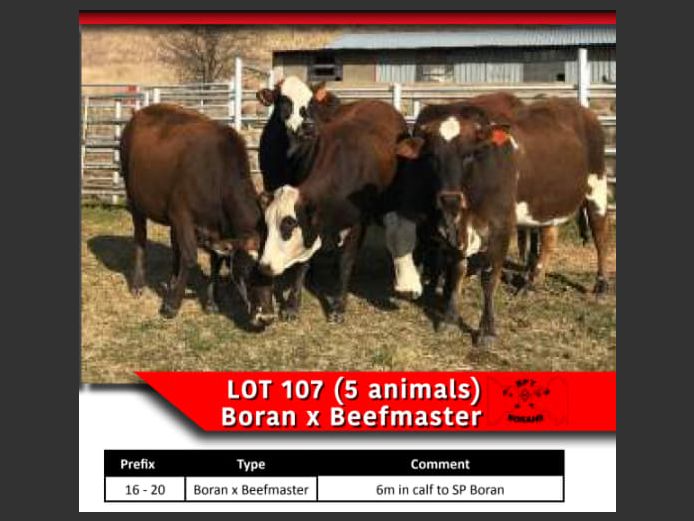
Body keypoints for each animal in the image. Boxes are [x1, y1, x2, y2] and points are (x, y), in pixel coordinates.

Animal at [119, 103, 274, 326]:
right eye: (247, 271)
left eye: (274, 272)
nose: (267, 317)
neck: (216, 176)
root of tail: (138, 114)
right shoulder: (182, 215)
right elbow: (190, 257)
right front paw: (171, 305)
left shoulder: (218, 230)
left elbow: (216, 260)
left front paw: (211, 302)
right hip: (135, 200)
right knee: (140, 237)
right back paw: (138, 284)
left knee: (175, 247)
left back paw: (172, 280)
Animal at [257, 99, 409, 323]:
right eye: (267, 224)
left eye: (289, 224)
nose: (264, 266)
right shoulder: (314, 224)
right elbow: (303, 263)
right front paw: (292, 305)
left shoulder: (357, 223)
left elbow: (347, 261)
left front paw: (339, 306)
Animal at [394, 107, 518, 346]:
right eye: (432, 156)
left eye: (469, 154)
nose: (449, 199)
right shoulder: (452, 231)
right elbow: (456, 272)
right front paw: (450, 318)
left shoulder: (501, 231)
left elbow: (489, 280)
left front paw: (488, 330)